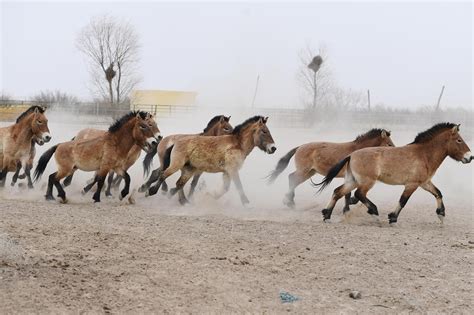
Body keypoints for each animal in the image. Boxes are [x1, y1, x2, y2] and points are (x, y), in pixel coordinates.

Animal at [33, 112, 161, 204]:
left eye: (150, 125)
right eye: (144, 126)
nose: (154, 142)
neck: (115, 143)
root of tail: (59, 145)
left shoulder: (117, 167)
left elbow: (127, 178)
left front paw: (122, 194)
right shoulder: (105, 167)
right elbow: (100, 181)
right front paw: (97, 198)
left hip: (69, 169)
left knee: (52, 177)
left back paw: (49, 197)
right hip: (66, 169)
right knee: (55, 179)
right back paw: (63, 197)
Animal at [146, 115, 276, 205]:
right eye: (264, 131)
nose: (273, 148)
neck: (237, 144)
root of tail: (174, 142)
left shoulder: (227, 172)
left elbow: (225, 188)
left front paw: (210, 195)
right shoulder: (232, 170)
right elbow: (239, 186)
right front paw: (246, 203)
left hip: (188, 169)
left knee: (178, 183)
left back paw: (182, 200)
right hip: (176, 165)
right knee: (163, 175)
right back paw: (152, 191)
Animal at [264, 128, 394, 210]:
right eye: (389, 144)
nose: (394, 153)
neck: (357, 151)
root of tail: (300, 147)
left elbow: (348, 192)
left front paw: (348, 205)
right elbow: (348, 192)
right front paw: (347, 207)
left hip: (310, 172)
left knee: (293, 180)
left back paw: (288, 201)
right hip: (304, 171)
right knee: (291, 178)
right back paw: (290, 202)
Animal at [316, 123, 472, 225]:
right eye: (459, 140)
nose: (470, 157)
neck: (423, 154)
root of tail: (351, 155)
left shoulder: (425, 183)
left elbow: (438, 193)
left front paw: (441, 215)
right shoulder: (412, 185)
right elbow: (403, 201)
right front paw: (392, 218)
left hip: (352, 180)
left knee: (338, 192)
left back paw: (327, 215)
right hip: (367, 182)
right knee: (359, 194)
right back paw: (374, 213)